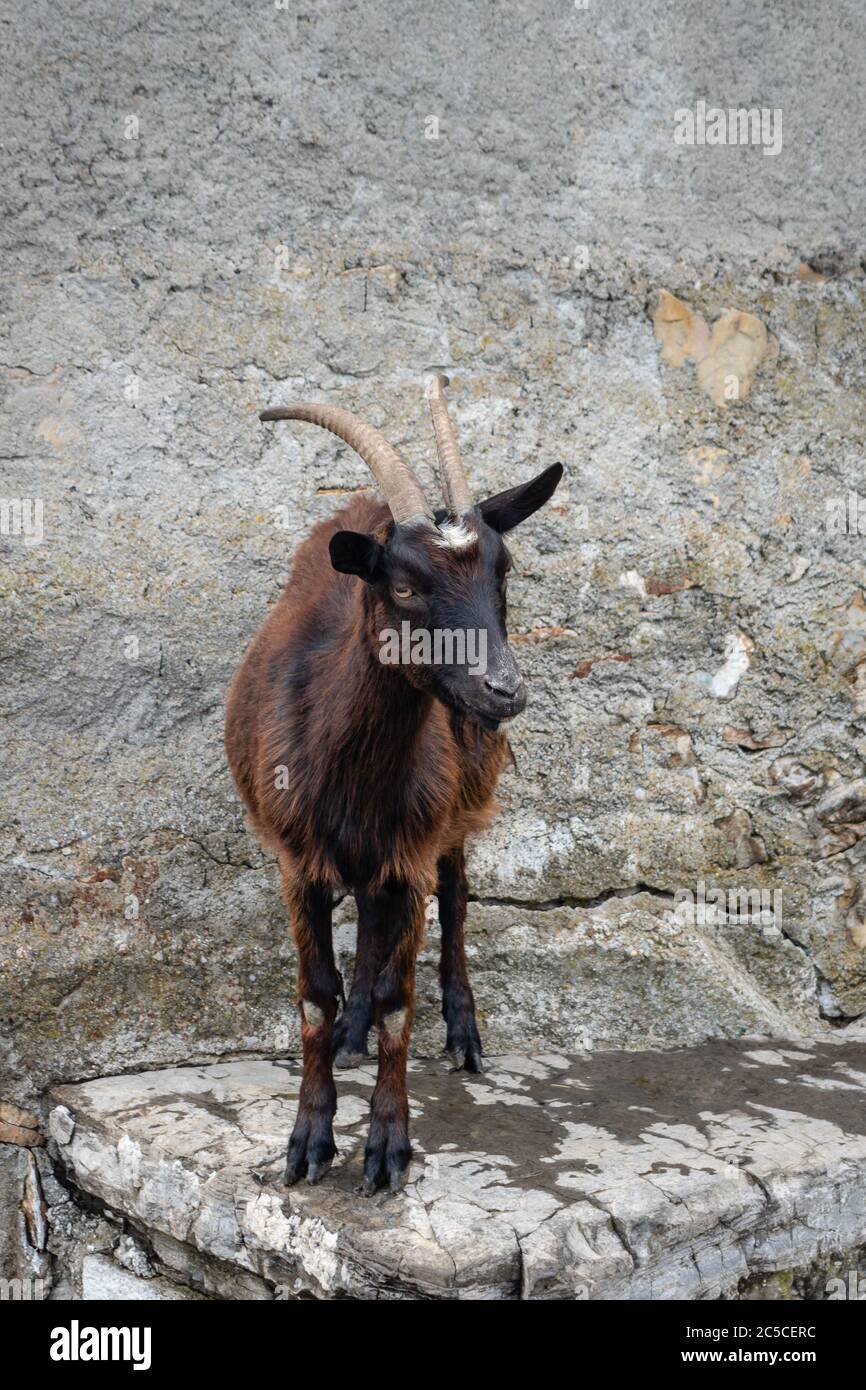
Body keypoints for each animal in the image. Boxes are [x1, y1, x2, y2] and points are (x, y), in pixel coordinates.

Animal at [223, 380, 561, 1195]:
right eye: (404, 585)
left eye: (504, 573)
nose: (504, 691)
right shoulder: (297, 862)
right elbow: (315, 996)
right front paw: (308, 1141)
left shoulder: (412, 851)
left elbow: (397, 1005)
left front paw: (386, 1148)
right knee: (371, 933)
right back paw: (352, 1037)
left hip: (455, 814)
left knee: (457, 904)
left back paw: (463, 1033)